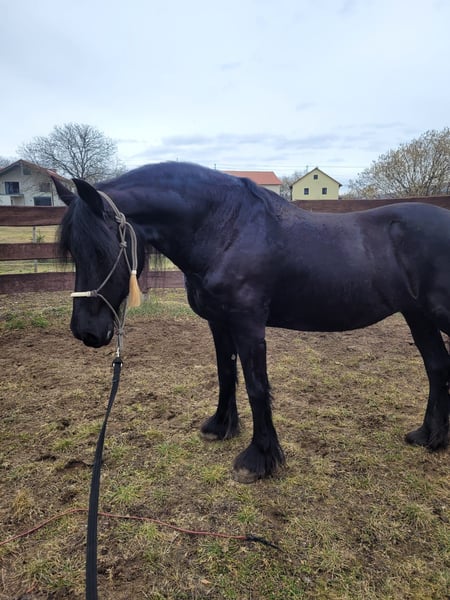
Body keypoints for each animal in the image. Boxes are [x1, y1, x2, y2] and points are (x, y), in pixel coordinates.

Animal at [54, 161, 450, 483]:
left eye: (102, 249)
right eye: (73, 250)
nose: (86, 331)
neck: (225, 229)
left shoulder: (248, 326)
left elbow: (257, 386)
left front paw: (259, 459)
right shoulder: (219, 323)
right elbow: (226, 373)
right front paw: (220, 427)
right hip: (418, 316)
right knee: (436, 365)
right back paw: (429, 437)